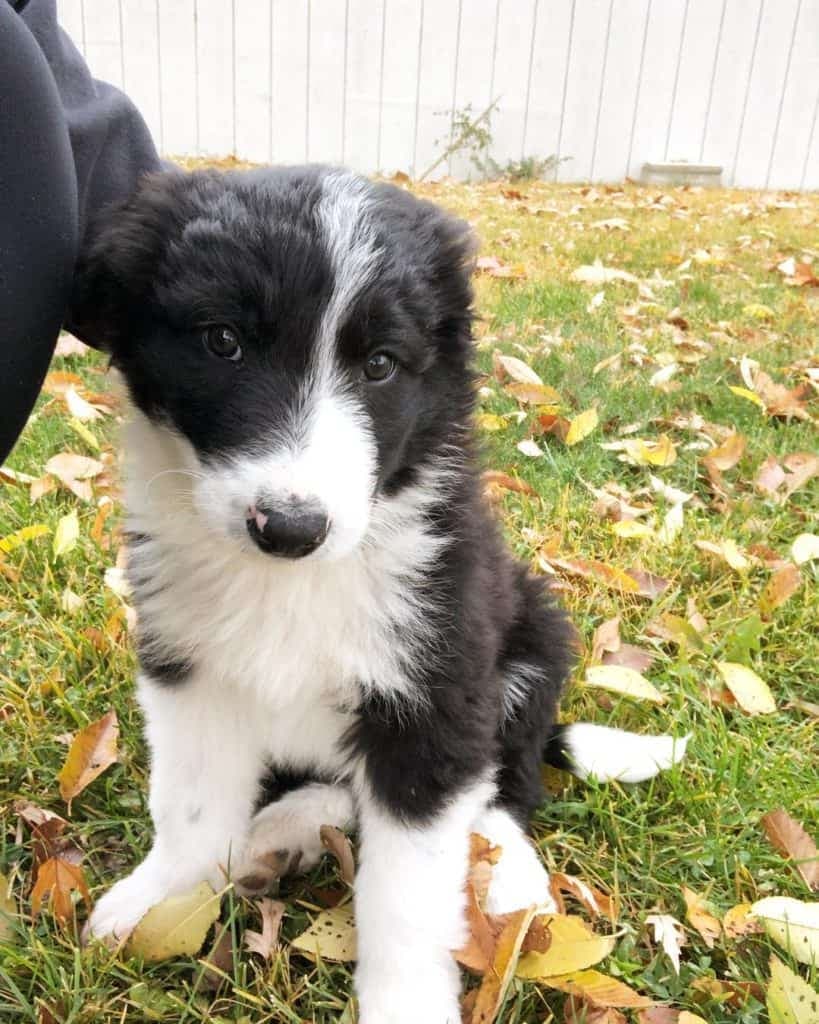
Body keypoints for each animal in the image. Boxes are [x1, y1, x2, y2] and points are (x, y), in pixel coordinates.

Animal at [68, 169, 683, 1024]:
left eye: (381, 365)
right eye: (222, 342)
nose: (291, 526)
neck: (291, 582)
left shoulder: (434, 695)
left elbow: (407, 893)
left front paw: (406, 1005)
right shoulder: (189, 669)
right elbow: (190, 803)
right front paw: (161, 899)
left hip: (530, 637)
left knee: (509, 780)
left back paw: (507, 876)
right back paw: (284, 828)